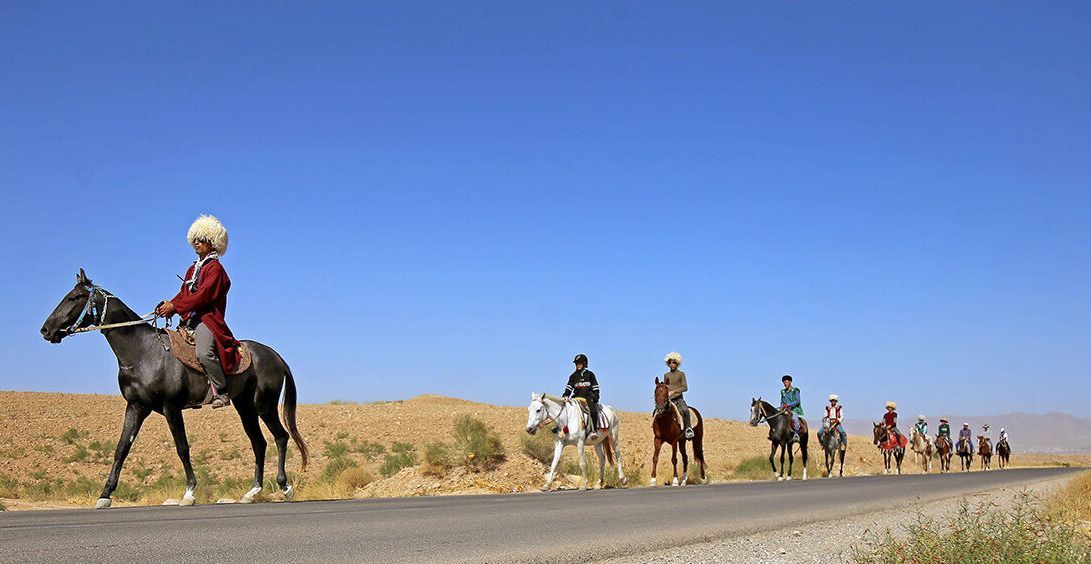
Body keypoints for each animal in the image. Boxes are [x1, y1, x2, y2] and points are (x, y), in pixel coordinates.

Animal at [40, 270, 309, 508]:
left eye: (74, 297)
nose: (45, 330)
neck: (143, 352)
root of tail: (275, 356)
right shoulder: (136, 407)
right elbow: (121, 449)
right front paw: (105, 495)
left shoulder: (171, 407)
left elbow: (182, 448)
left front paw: (189, 493)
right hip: (245, 408)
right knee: (259, 443)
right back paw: (252, 492)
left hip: (264, 405)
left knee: (281, 437)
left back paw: (285, 487)